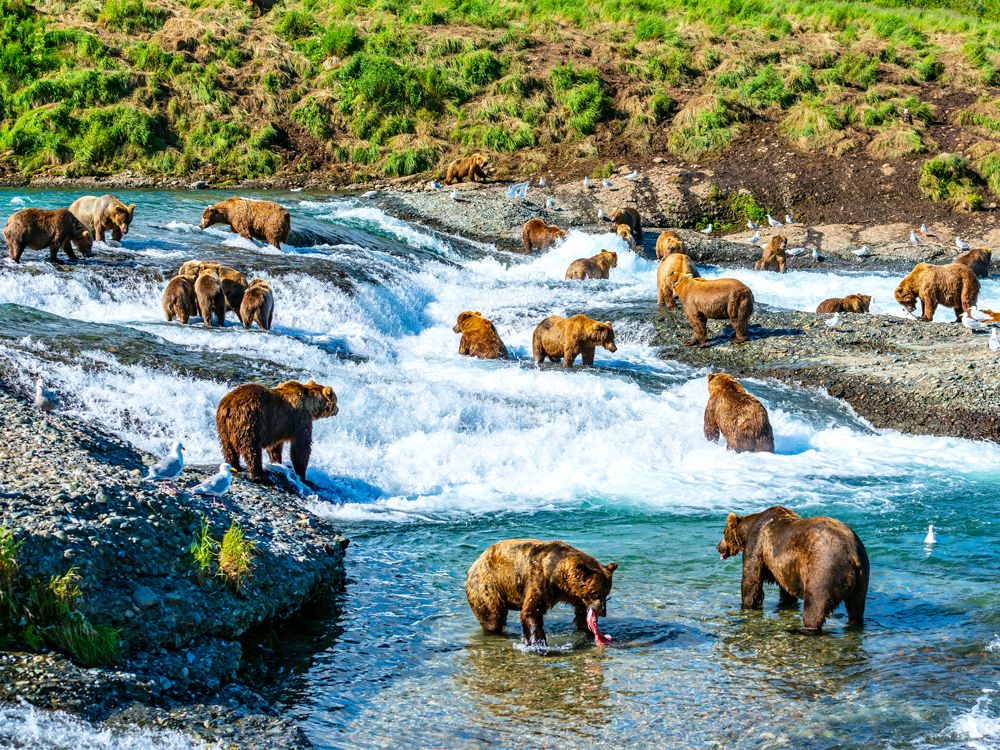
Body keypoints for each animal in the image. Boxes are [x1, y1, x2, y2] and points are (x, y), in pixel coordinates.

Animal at [465, 539, 617, 646]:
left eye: (607, 594)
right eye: (596, 593)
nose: (603, 612)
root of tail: (475, 563)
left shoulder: (571, 594)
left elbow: (580, 612)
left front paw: (587, 630)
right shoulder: (540, 580)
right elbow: (532, 611)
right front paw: (539, 643)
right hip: (488, 585)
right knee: (492, 618)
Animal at [716, 505, 870, 633]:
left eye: (724, 533)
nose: (718, 547)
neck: (747, 531)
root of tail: (852, 553)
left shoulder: (757, 544)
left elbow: (751, 581)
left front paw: (746, 605)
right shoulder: (785, 567)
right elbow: (786, 590)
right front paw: (785, 603)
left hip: (824, 568)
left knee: (814, 605)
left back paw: (806, 629)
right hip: (861, 578)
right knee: (856, 607)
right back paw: (854, 624)